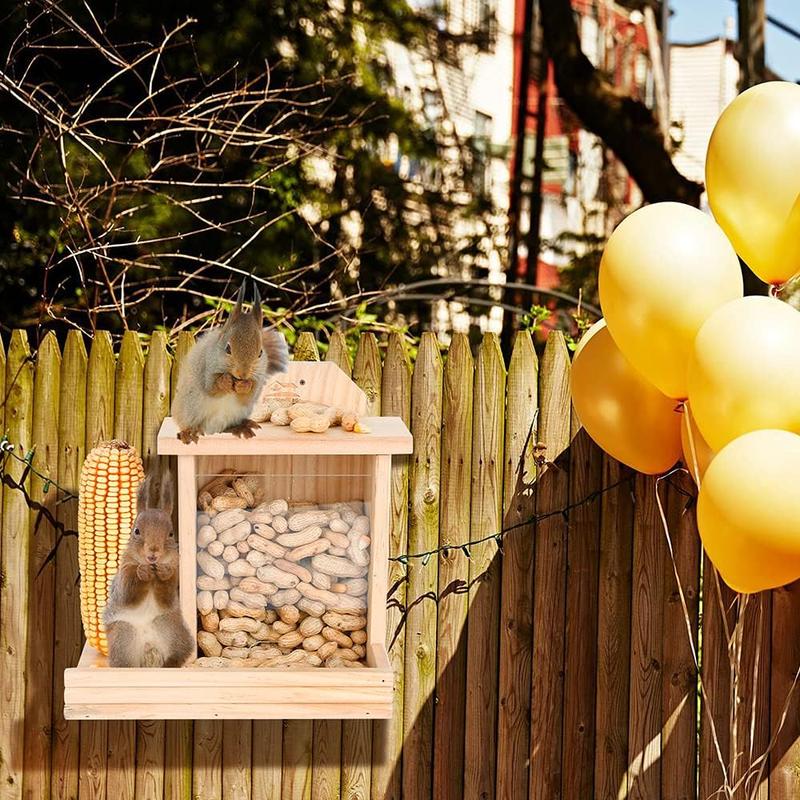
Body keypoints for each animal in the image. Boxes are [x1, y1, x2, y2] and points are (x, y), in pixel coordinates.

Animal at [103, 471, 194, 668]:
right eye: (136, 531)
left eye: (171, 533)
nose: (153, 553)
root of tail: (148, 647)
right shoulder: (123, 576)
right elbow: (128, 594)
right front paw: (141, 572)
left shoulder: (175, 576)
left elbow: (166, 595)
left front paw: (163, 572)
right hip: (123, 637)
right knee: (124, 662)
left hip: (171, 628)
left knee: (178, 652)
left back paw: (170, 663)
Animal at [171, 279, 289, 443]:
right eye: (227, 348)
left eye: (260, 352)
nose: (242, 374)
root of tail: (210, 429)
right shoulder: (205, 366)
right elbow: (211, 387)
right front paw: (225, 381)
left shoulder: (257, 378)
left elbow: (247, 395)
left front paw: (244, 385)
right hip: (189, 409)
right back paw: (188, 433)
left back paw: (242, 427)